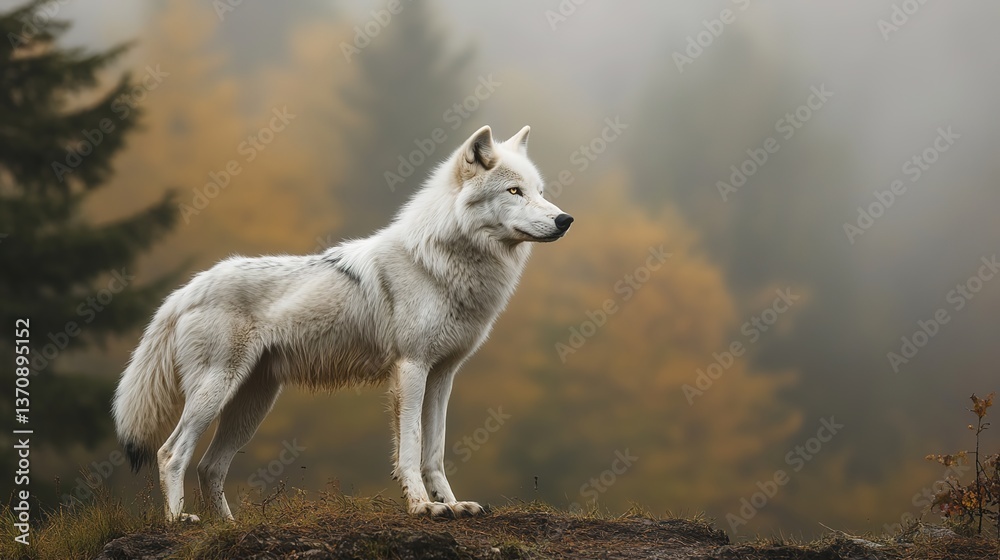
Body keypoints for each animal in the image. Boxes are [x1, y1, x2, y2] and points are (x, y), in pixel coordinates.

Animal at [112, 125, 573, 521]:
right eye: (514, 191)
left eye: (541, 192)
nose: (565, 220)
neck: (441, 262)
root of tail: (185, 290)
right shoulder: (411, 368)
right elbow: (410, 449)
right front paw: (423, 507)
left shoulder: (443, 375)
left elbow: (435, 452)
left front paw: (453, 504)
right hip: (216, 391)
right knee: (171, 454)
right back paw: (179, 522)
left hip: (252, 403)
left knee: (209, 466)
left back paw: (225, 527)